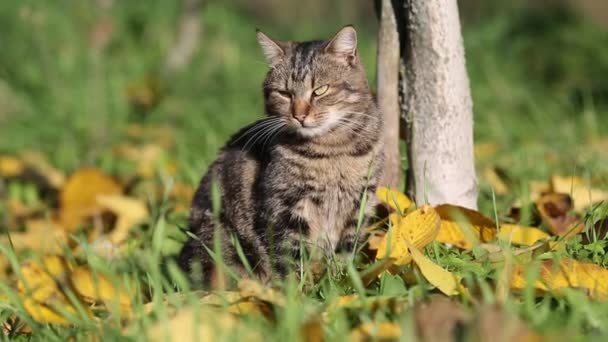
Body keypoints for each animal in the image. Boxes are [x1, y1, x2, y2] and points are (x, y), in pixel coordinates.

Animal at [177, 26, 384, 284]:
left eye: (320, 90)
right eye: (284, 93)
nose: (299, 115)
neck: (333, 152)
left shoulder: (360, 203)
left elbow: (345, 254)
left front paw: (341, 280)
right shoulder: (286, 206)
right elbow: (292, 257)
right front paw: (300, 290)